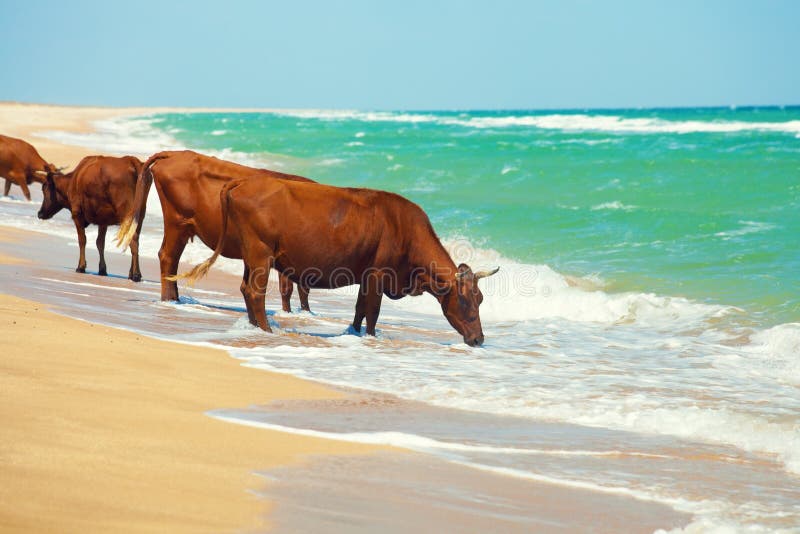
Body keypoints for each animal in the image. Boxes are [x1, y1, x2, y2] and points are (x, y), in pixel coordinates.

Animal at [175, 176, 499, 346]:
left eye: (481, 298)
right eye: (467, 301)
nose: (479, 339)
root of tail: (244, 180)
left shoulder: (366, 275)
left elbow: (359, 308)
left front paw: (354, 333)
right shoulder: (379, 273)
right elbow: (373, 311)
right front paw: (370, 337)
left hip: (251, 257)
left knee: (245, 289)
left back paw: (256, 327)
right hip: (260, 253)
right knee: (255, 292)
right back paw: (266, 330)